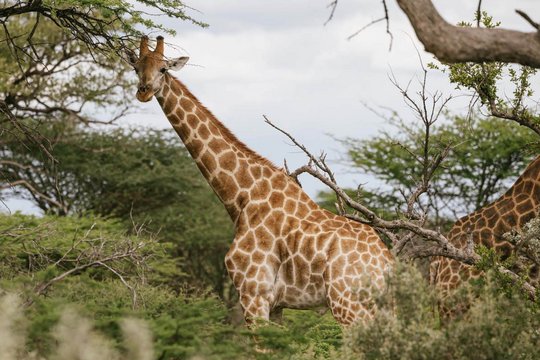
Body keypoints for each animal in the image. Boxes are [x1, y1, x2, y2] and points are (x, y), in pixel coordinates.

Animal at [129, 35, 394, 324]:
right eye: (136, 67)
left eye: (163, 69)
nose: (143, 92)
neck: (241, 196)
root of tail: (388, 266)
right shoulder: (275, 305)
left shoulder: (253, 294)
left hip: (349, 306)